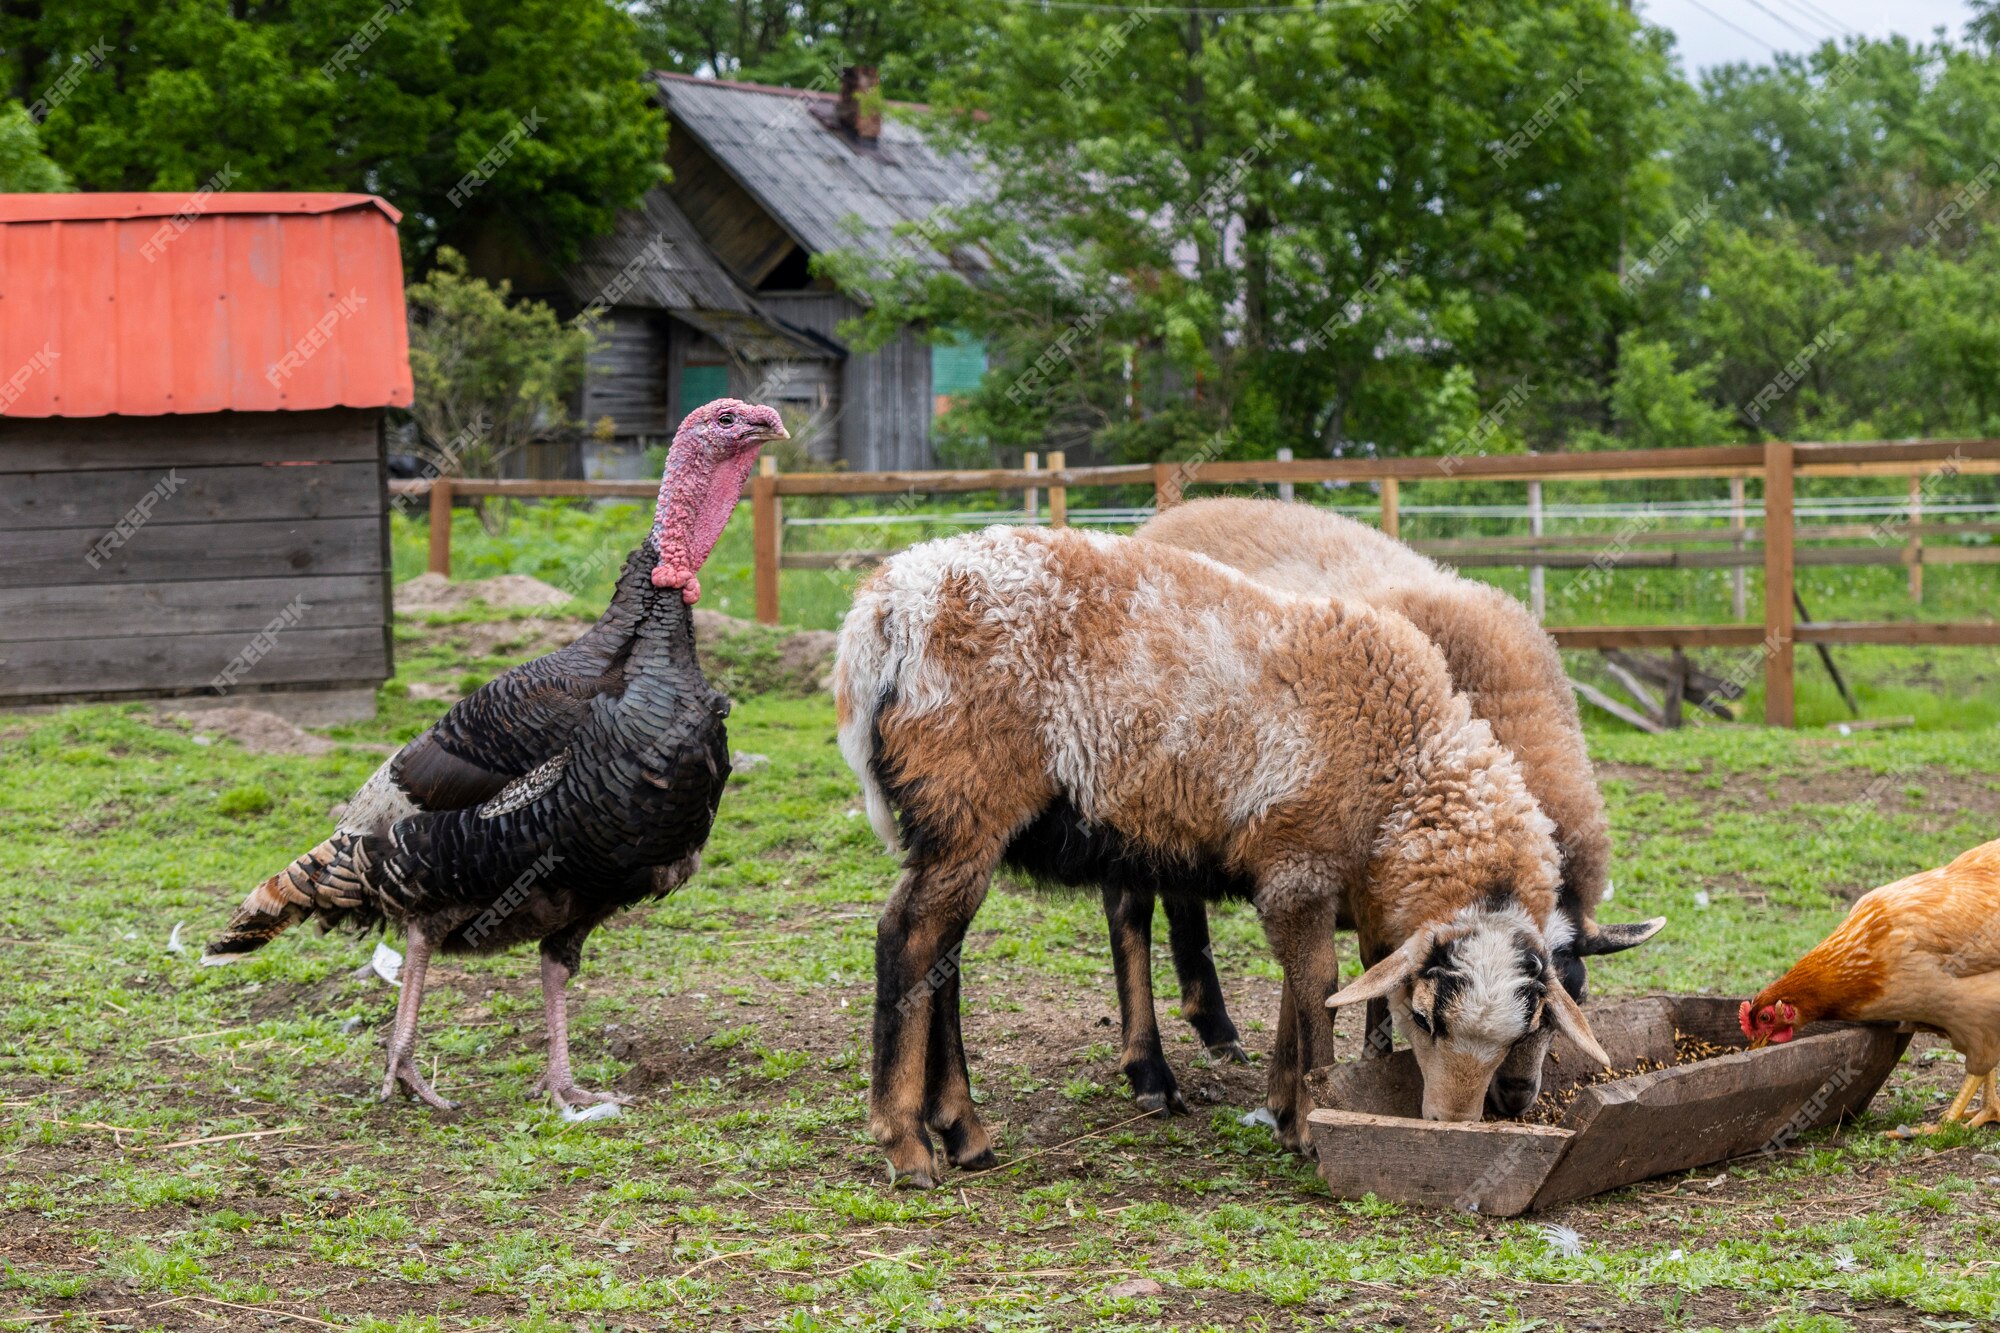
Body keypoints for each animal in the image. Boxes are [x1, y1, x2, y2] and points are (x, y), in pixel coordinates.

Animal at [828, 520, 1608, 1184]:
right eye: (1424, 1019)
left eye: (1522, 1030)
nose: (1455, 1121)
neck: (1402, 765)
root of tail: (883, 611)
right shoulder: (1297, 861)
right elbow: (1318, 983)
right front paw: (1310, 1119)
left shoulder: (1310, 879)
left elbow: (1306, 985)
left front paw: (1290, 1103)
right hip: (966, 793)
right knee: (908, 938)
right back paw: (908, 1142)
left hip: (957, 818)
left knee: (943, 954)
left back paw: (962, 1131)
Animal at [1128, 492, 1672, 1112]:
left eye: (1574, 994)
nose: (1514, 1098)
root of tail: (1183, 509)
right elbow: (1345, 973)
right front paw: (1305, 1088)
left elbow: (1374, 970)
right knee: (1131, 914)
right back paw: (1150, 1072)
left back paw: (1215, 1027)